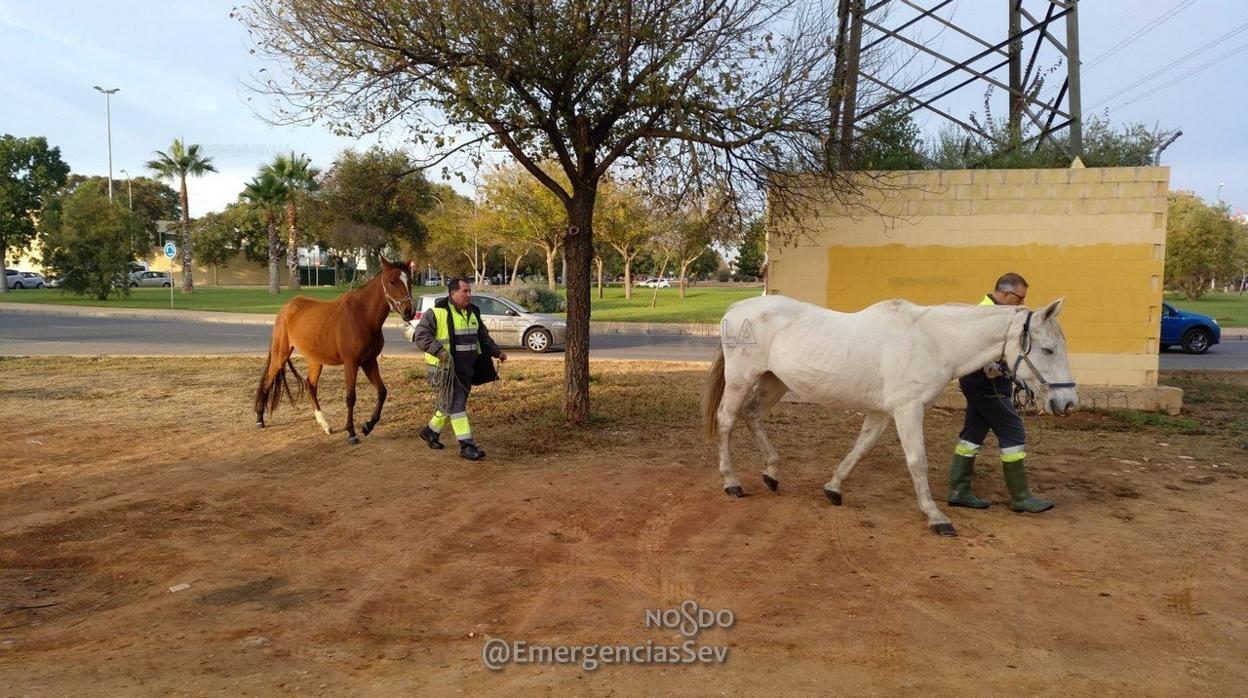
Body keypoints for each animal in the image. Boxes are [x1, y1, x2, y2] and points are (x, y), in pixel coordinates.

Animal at [253, 259, 414, 444]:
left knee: (310, 386)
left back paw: (325, 425)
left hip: (315, 360)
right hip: (281, 355)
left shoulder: (369, 361)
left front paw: (367, 426)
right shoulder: (351, 363)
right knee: (267, 382)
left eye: (410, 281)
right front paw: (351, 433)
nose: (409, 312)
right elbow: (350, 397)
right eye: (392, 282)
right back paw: (259, 419)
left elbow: (382, 391)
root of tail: (286, 309)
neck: (362, 316)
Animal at [708, 293, 1078, 534]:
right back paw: (731, 483)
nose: (1067, 403)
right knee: (726, 420)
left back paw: (771, 473)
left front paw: (834, 488)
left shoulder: (883, 412)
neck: (933, 341)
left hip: (775, 381)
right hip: (742, 378)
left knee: (752, 415)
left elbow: (861, 448)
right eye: (1047, 349)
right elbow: (917, 461)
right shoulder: (908, 410)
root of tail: (736, 309)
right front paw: (936, 517)